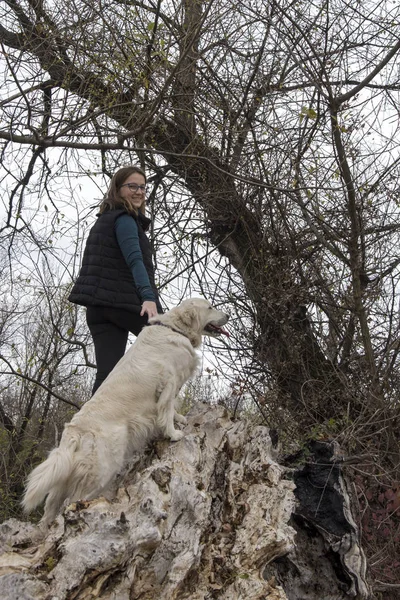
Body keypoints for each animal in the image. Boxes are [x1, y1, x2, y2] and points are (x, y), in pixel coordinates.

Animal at [21, 298, 228, 528]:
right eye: (210, 307)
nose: (228, 316)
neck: (176, 329)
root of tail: (75, 432)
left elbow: (171, 407)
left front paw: (180, 419)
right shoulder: (169, 380)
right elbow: (167, 408)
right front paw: (173, 433)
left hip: (66, 477)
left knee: (50, 507)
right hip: (102, 471)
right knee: (73, 501)